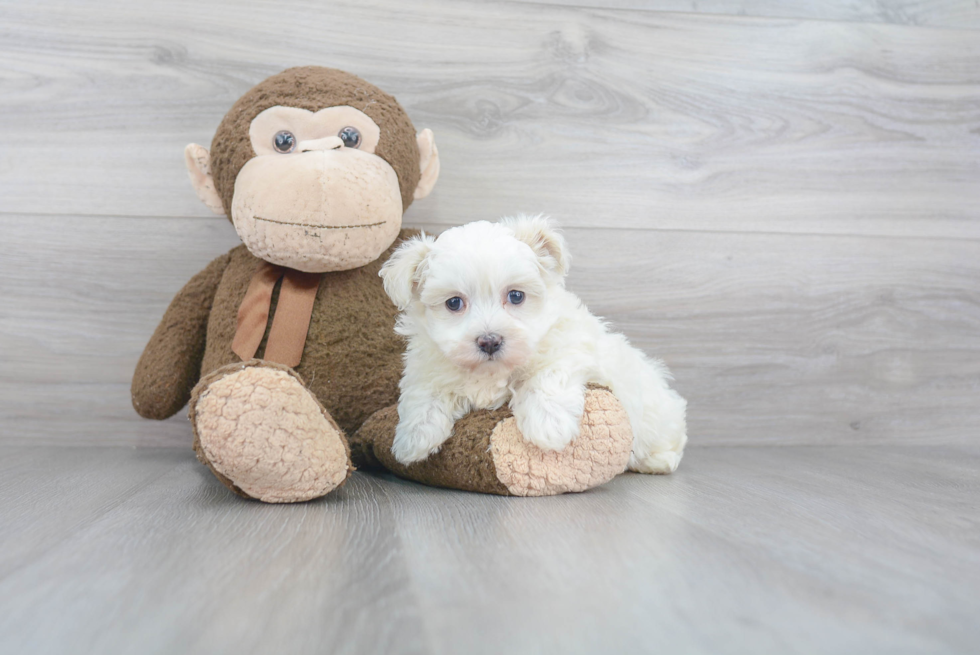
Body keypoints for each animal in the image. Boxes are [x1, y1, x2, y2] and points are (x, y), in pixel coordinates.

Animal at [378, 218, 684, 474]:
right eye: (454, 303)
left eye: (516, 296)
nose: (489, 341)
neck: (492, 372)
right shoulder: (428, 366)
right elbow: (423, 395)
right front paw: (413, 440)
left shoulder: (568, 347)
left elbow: (547, 378)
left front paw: (548, 427)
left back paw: (658, 461)